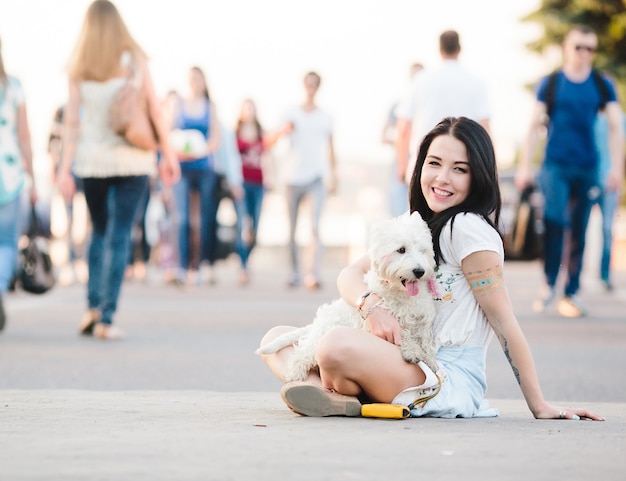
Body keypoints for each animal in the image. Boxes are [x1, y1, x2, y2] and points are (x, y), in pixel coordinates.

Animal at [256, 212, 436, 380]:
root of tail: (317, 323)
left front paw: (430, 360)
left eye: (423, 250)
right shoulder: (382, 321)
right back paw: (294, 377)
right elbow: (403, 333)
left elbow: (426, 339)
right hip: (321, 338)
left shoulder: (423, 316)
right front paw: (412, 350)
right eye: (401, 250)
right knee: (302, 354)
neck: (400, 293)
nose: (419, 271)